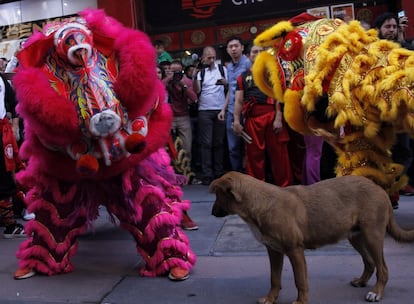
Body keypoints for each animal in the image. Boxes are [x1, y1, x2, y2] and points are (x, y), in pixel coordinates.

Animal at [210, 172, 414, 302]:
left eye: (218, 196)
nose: (212, 213)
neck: (259, 204)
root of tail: (380, 189)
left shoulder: (295, 250)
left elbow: (300, 280)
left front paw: (301, 302)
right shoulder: (274, 251)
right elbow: (274, 278)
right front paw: (270, 299)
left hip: (373, 235)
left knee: (383, 268)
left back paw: (376, 293)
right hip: (355, 236)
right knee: (370, 262)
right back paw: (362, 282)